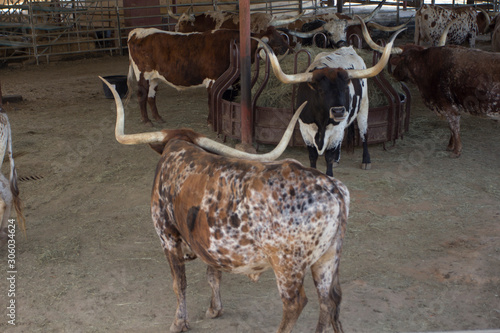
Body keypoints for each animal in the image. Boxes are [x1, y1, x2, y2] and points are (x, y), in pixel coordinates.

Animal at [101, 76, 350, 332]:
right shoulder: (208, 244)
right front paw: (214, 309)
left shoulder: (167, 236)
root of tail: (331, 188)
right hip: (327, 259)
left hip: (287, 266)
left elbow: (179, 283)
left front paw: (179, 322)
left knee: (296, 303)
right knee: (330, 300)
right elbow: (213, 275)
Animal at [126, 27, 290, 125]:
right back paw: (146, 120)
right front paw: (212, 121)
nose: (287, 49)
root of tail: (137, 32)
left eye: (282, 39)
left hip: (154, 78)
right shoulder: (213, 79)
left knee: (151, 97)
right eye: (275, 43)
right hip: (143, 75)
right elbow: (212, 100)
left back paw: (158, 118)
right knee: (142, 95)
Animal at [362, 17, 498, 158]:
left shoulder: (449, 107)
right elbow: (452, 129)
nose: (393, 74)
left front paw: (456, 151)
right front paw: (450, 146)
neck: (427, 66)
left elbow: (454, 127)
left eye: (400, 60)